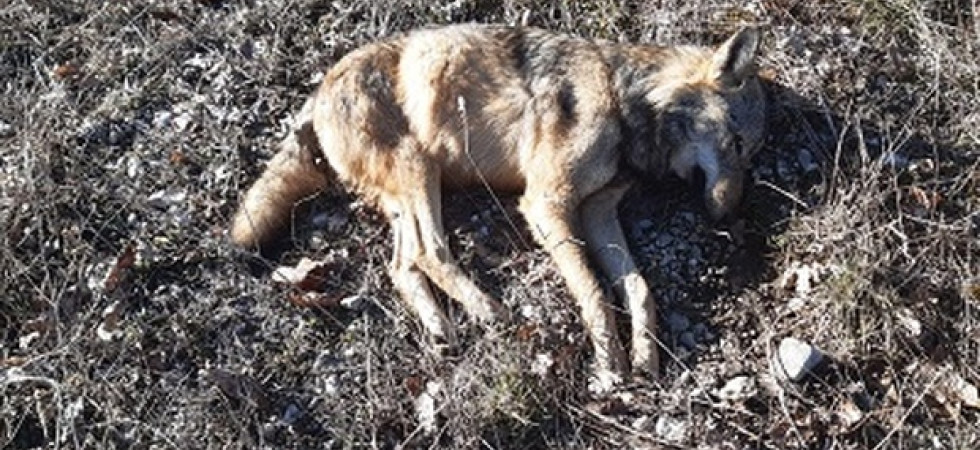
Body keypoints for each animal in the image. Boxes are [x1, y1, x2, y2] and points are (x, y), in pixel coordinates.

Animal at [231, 24, 766, 387]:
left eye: (751, 158)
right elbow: (595, 291)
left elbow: (638, 289)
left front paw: (644, 357)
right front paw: (610, 367)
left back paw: (442, 329)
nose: (728, 215)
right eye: (737, 143)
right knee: (430, 252)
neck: (625, 97)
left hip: (410, 192)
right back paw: (490, 311)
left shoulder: (598, 212)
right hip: (419, 170)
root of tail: (321, 85)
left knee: (402, 265)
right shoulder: (548, 205)